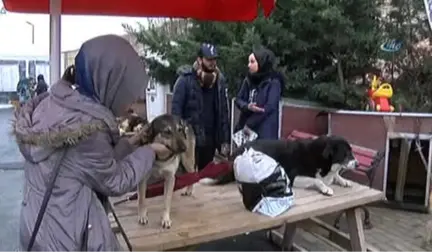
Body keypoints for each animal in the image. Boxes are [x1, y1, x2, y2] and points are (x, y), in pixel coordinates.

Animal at [201, 135, 360, 196]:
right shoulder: (294, 176)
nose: (358, 164)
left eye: (352, 151)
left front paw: (344, 180)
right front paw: (326, 188)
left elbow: (336, 175)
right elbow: (317, 180)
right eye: (346, 154)